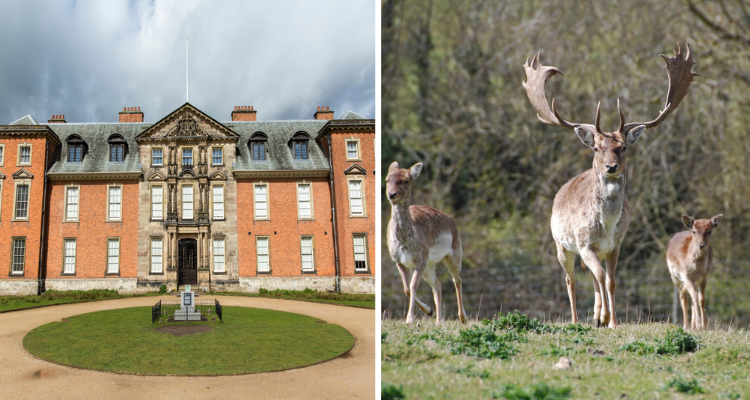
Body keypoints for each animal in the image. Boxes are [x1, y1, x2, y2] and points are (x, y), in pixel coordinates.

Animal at [386, 161, 468, 324]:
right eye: (387, 180)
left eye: (406, 180)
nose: (392, 194)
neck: (405, 241)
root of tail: (452, 221)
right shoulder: (399, 260)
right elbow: (406, 288)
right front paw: (428, 310)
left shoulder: (422, 257)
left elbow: (413, 285)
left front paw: (410, 319)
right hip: (430, 265)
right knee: (438, 285)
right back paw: (438, 320)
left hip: (454, 254)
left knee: (457, 279)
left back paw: (463, 318)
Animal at [522, 43, 697, 328]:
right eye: (596, 148)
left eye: (623, 147)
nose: (611, 167)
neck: (605, 225)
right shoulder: (584, 243)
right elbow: (601, 277)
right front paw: (604, 317)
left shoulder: (615, 245)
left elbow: (611, 280)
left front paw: (611, 320)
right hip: (562, 244)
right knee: (571, 279)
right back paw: (575, 319)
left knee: (594, 277)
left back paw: (596, 316)